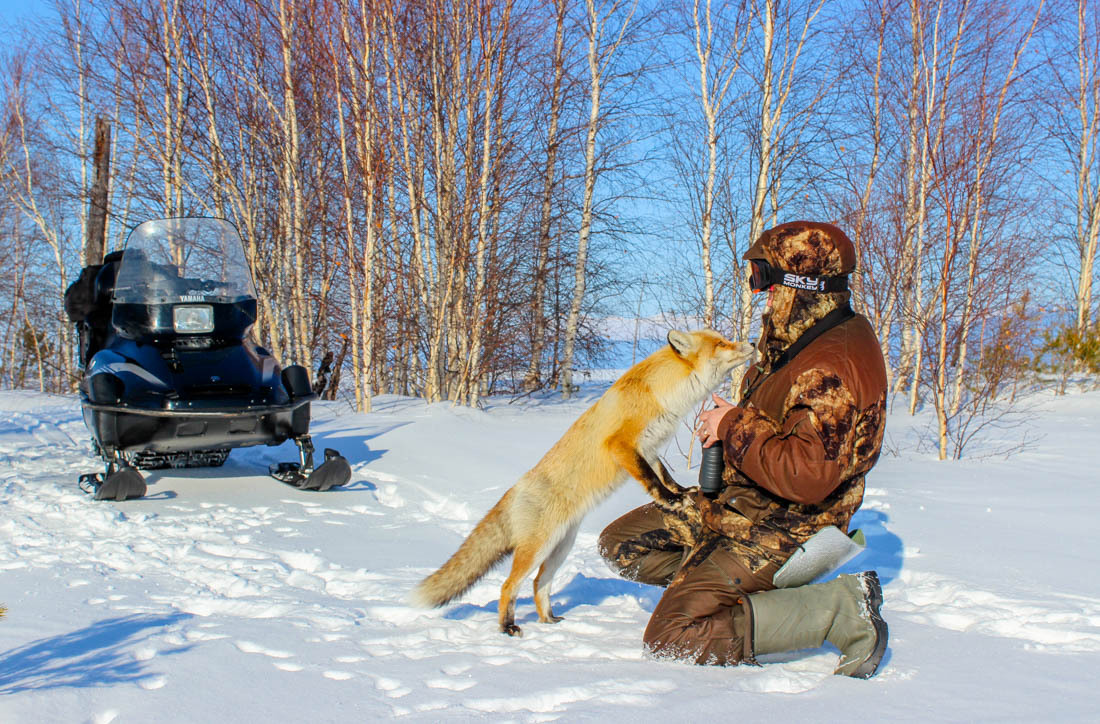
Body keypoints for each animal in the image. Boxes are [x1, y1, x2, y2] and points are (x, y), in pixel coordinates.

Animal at [409, 330, 752, 633]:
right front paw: (671, 500)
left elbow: (663, 475)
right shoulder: (622, 445)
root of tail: (514, 490)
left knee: (539, 584)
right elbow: (652, 481)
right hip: (537, 549)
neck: (665, 394)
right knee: (509, 586)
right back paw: (507, 627)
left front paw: (681, 491)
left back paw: (548, 621)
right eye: (721, 343)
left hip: (561, 547)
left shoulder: (649, 447)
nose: (749, 343)